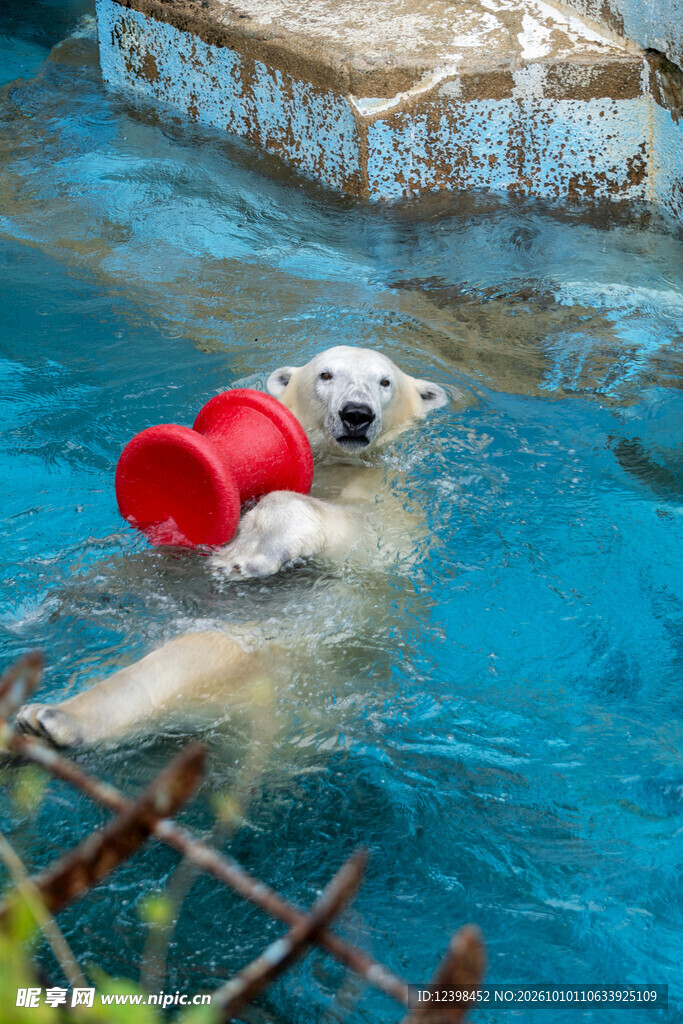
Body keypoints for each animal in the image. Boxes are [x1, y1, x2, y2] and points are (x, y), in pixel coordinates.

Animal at [15, 346, 448, 748]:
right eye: (326, 374)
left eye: (385, 382)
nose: (356, 414)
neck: (338, 466)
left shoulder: (392, 511)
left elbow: (372, 537)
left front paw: (243, 556)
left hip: (280, 655)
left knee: (200, 656)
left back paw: (53, 719)